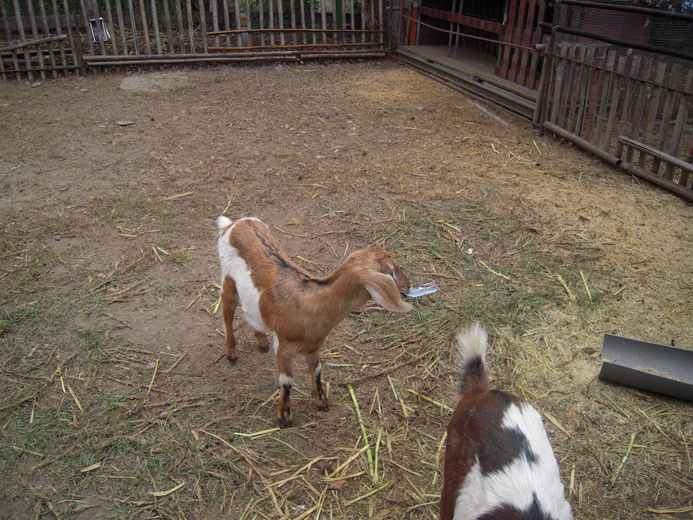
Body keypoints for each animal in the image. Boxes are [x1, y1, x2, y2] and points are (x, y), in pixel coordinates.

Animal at [217, 216, 413, 427]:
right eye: (390, 272)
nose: (408, 286)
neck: (310, 306)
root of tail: (234, 223)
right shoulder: (283, 348)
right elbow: (286, 381)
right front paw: (284, 416)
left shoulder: (314, 344)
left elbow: (317, 370)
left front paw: (321, 402)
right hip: (227, 279)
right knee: (227, 311)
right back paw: (232, 353)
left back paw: (261, 341)